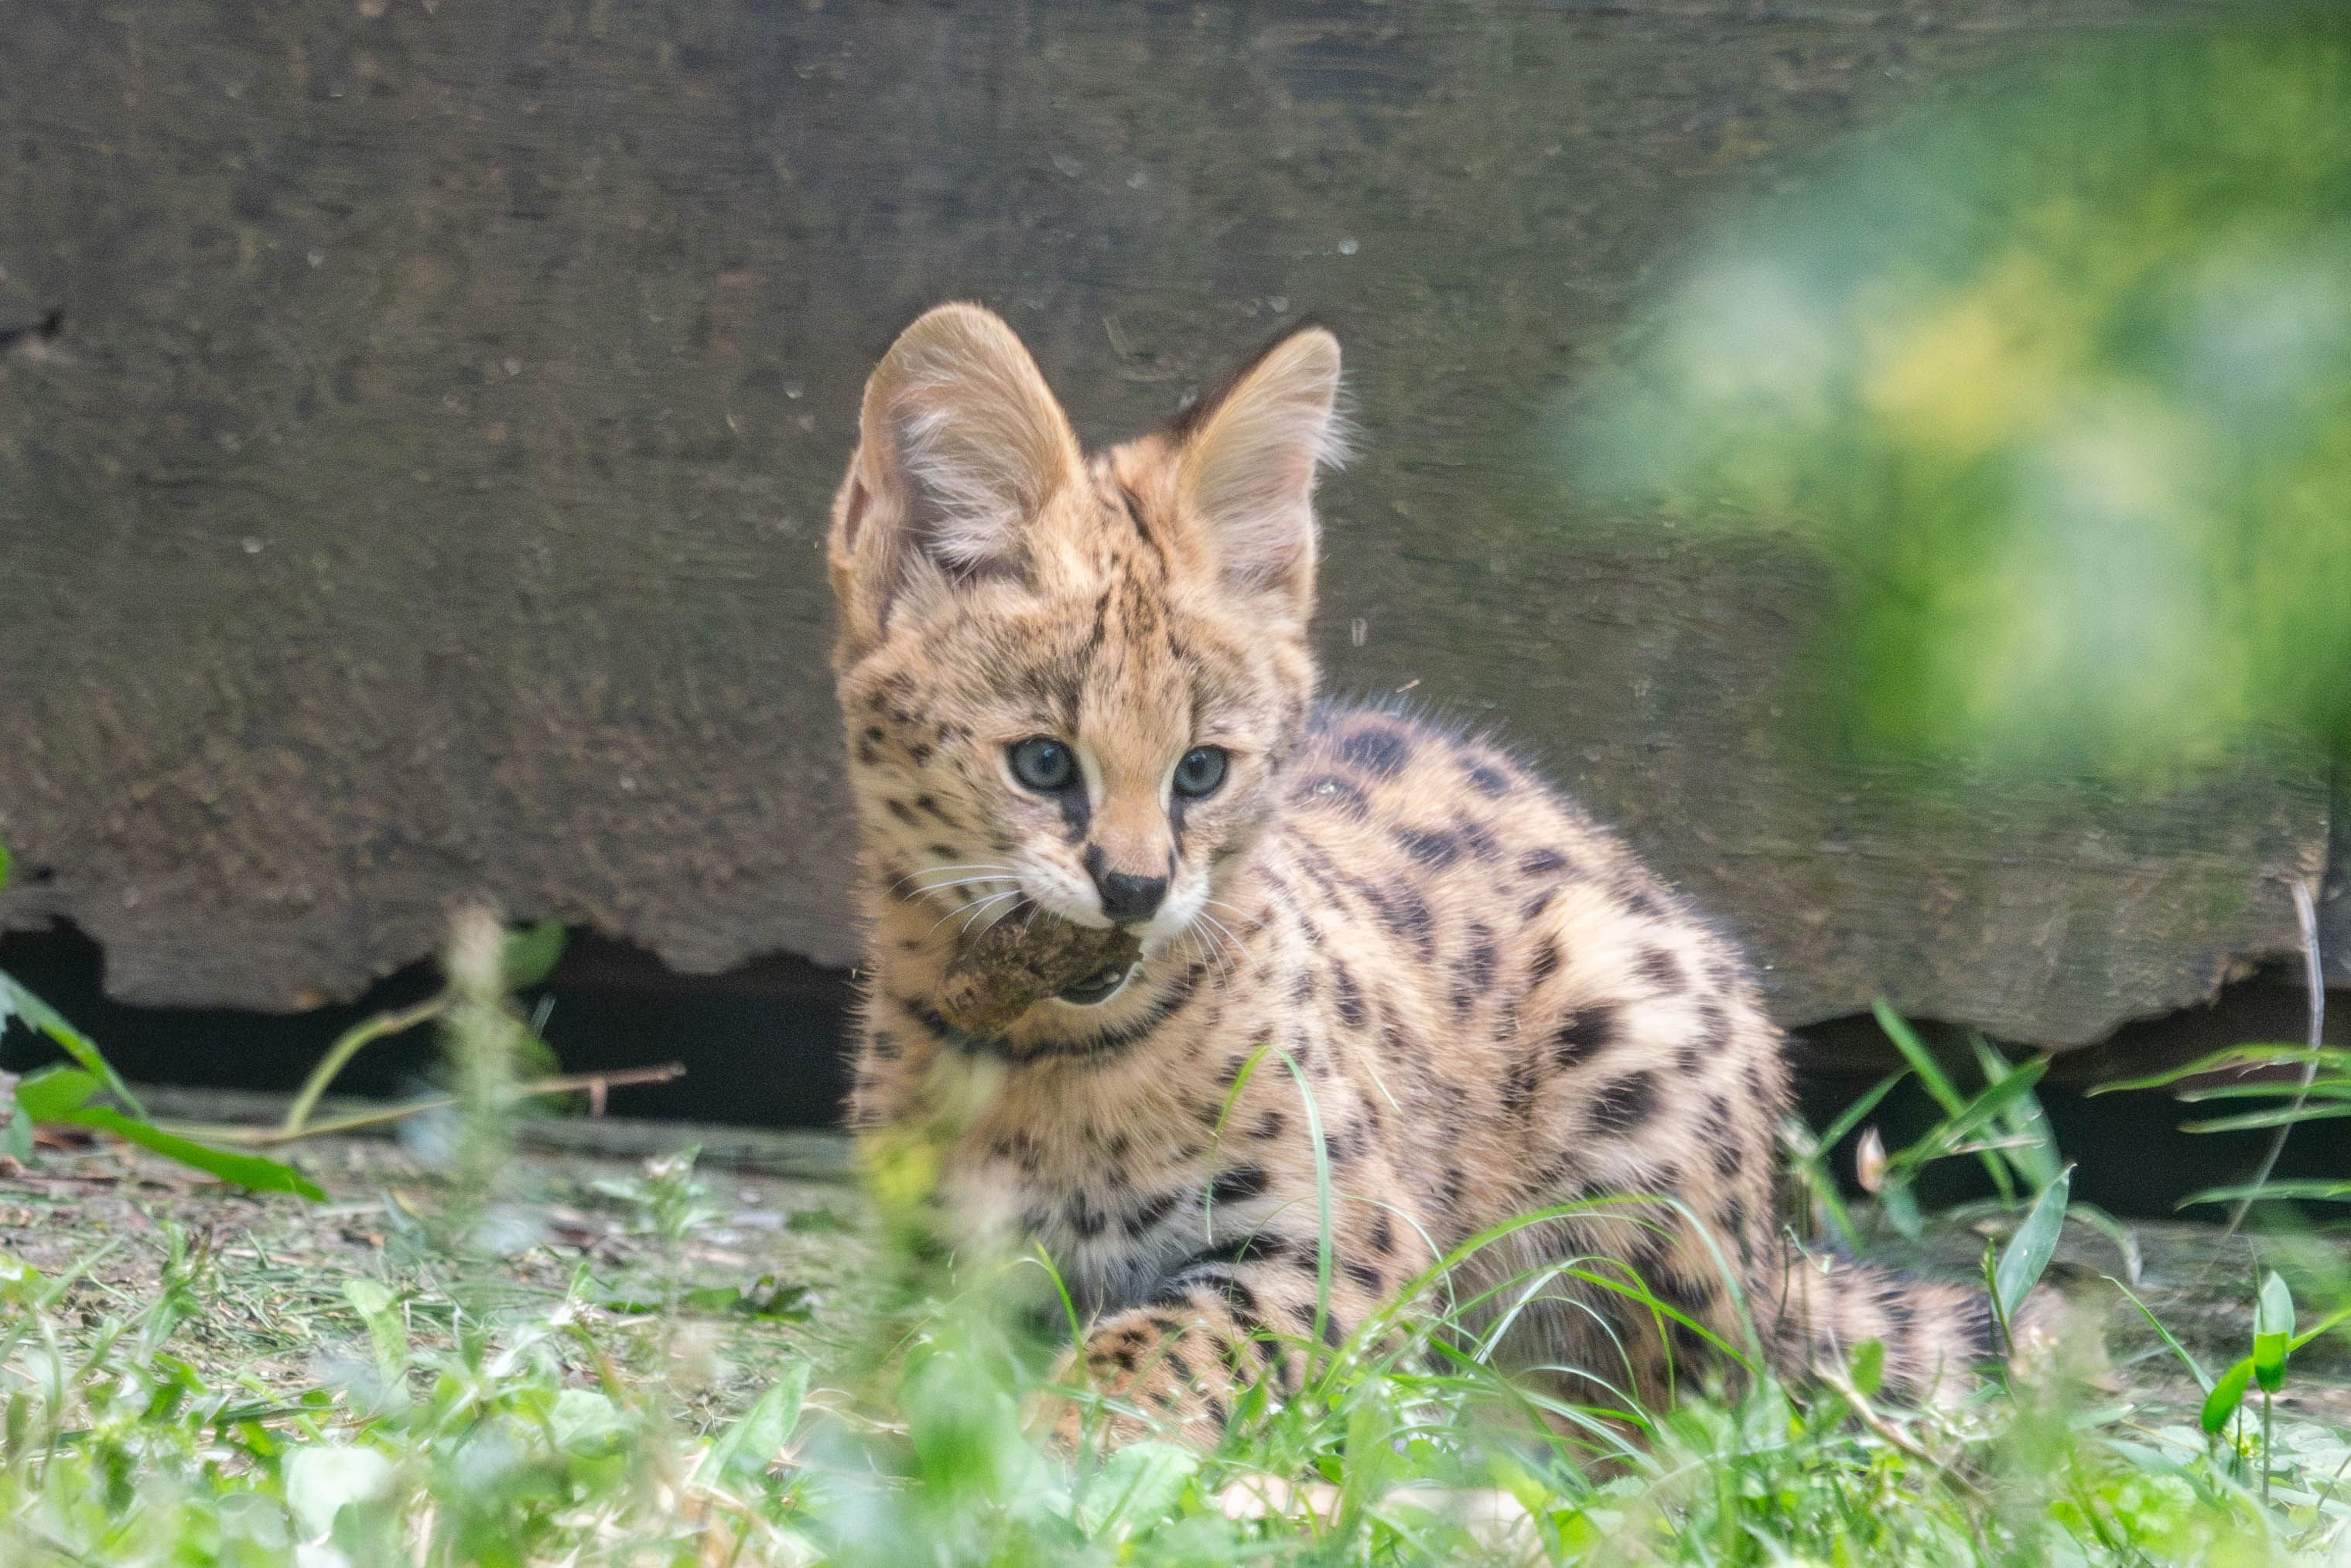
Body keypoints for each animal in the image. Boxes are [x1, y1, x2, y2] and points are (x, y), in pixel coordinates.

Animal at [823, 301, 1997, 1449]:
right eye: (1042, 763)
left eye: (1200, 769)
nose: (1135, 889)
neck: (1049, 1054)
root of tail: (1781, 1268)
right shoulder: (929, 1261)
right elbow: (932, 1353)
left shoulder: (1347, 1243)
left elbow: (1165, 1338)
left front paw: (1062, 1432)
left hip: (1635, 1047)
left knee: (1677, 1402)